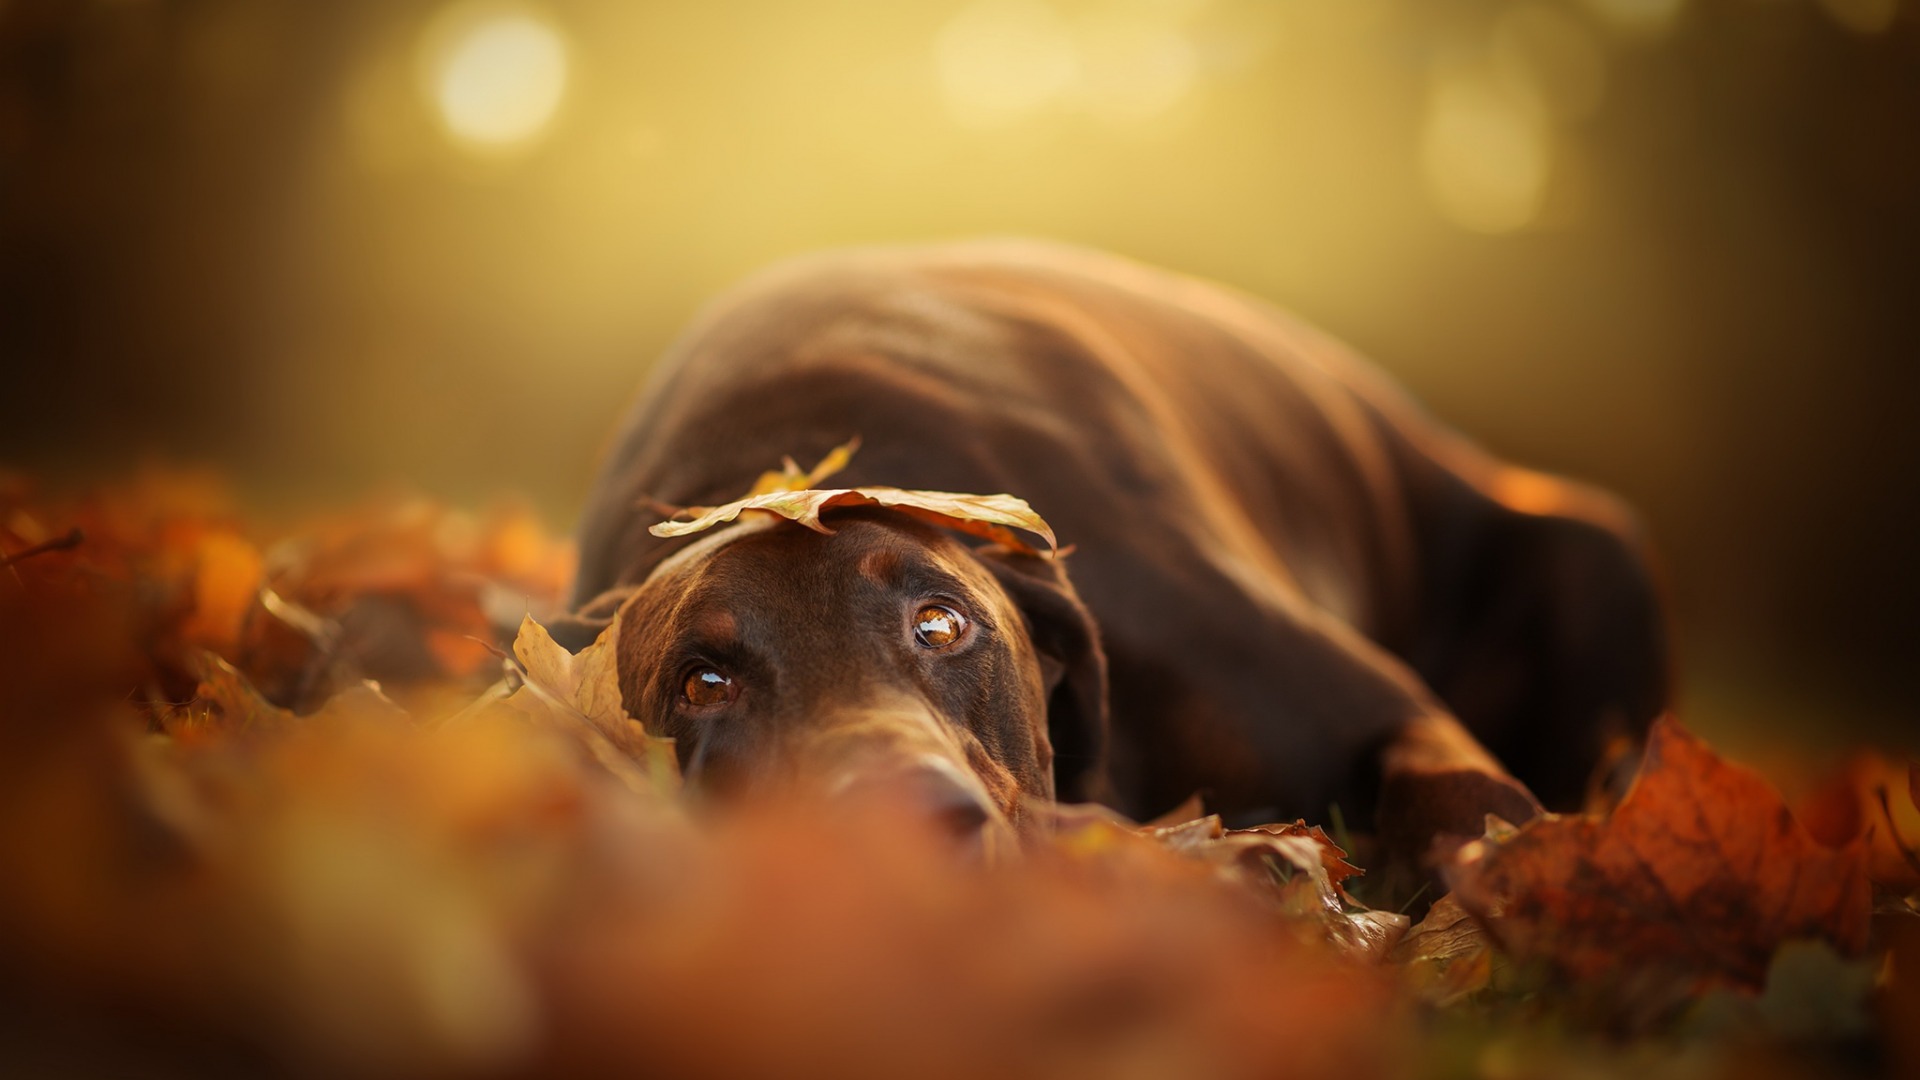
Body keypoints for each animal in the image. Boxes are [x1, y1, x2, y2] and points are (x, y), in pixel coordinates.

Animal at [556, 239, 1666, 853]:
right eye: (701, 684)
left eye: (940, 625)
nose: (903, 832)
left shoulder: (1373, 709)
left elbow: (1474, 814)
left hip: (1595, 554)